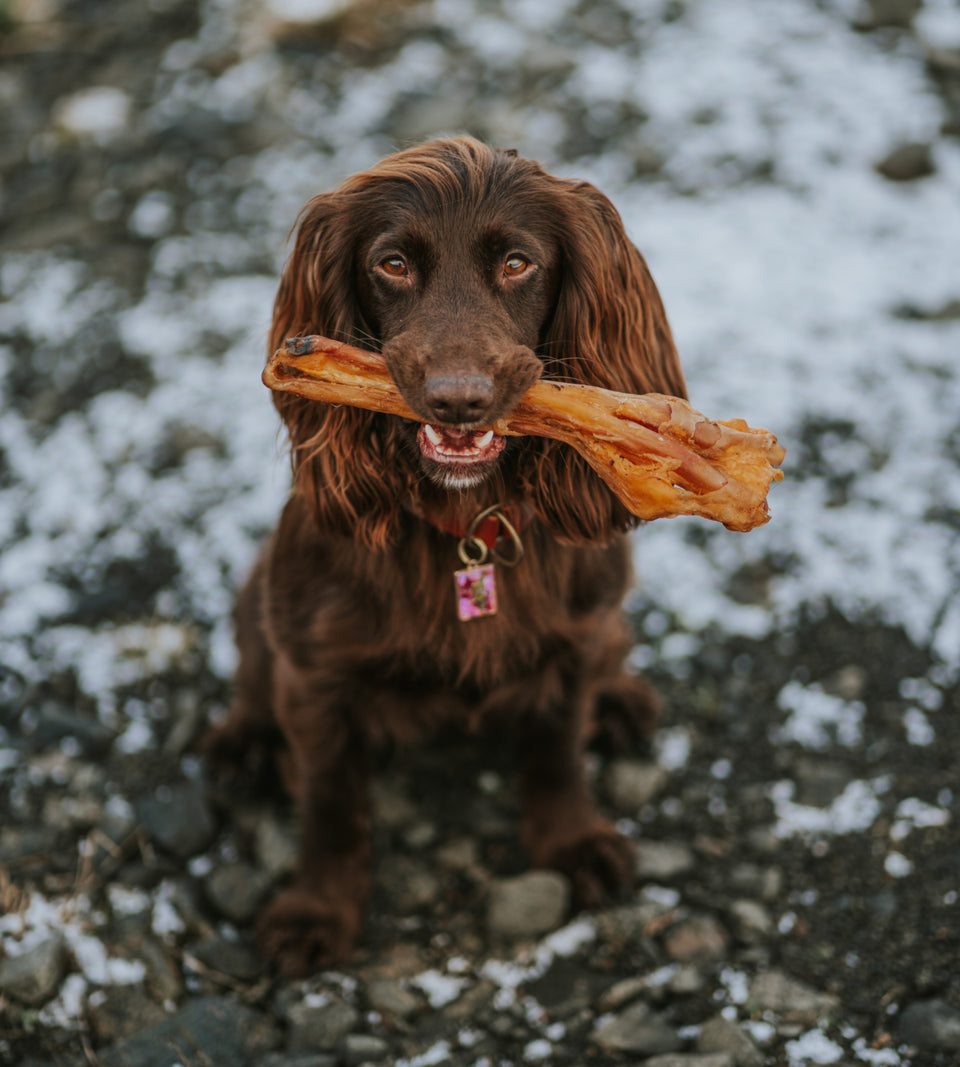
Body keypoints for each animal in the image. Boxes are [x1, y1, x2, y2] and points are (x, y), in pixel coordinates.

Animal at [204, 137, 682, 977]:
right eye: (392, 263)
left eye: (518, 263)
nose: (459, 398)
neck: (465, 525)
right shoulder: (316, 677)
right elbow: (330, 805)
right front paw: (317, 908)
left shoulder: (572, 641)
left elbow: (556, 750)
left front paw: (573, 841)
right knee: (254, 670)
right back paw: (244, 739)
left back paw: (620, 699)